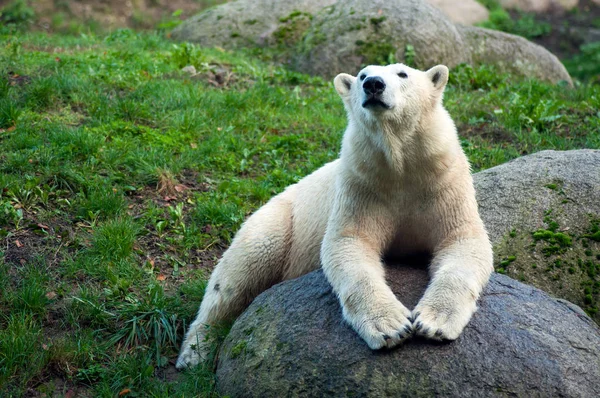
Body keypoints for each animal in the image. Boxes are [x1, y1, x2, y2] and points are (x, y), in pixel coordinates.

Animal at [176, 63, 494, 370]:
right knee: (239, 271)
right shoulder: (363, 184)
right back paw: (194, 352)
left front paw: (433, 323)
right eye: (363, 74)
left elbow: (462, 241)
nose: (374, 85)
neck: (400, 164)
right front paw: (391, 326)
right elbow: (349, 242)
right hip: (280, 218)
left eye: (403, 73)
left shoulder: (442, 181)